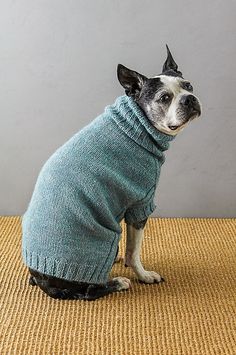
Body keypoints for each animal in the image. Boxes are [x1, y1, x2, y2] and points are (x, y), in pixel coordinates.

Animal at [22, 45, 202, 300]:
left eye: (188, 86)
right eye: (164, 98)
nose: (190, 98)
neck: (137, 124)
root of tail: (42, 278)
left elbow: (130, 249)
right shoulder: (140, 205)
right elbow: (133, 251)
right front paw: (144, 275)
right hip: (101, 240)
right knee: (88, 291)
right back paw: (118, 282)